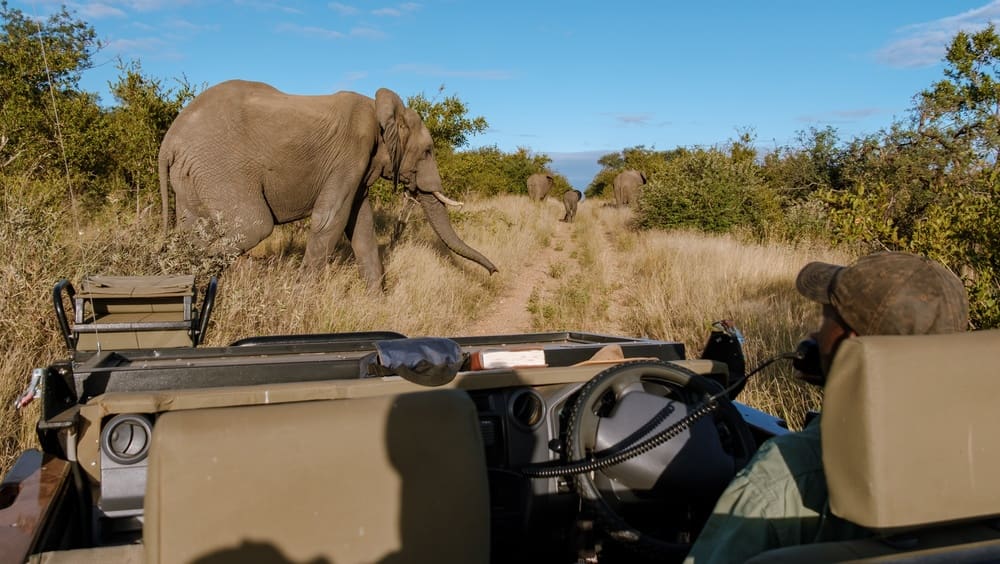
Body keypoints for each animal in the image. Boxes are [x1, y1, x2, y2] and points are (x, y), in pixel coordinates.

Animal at [158, 80, 497, 291]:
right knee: (255, 225)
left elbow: (360, 225)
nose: (495, 272)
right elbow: (331, 220)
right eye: (427, 151)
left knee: (191, 231)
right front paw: (301, 298)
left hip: (193, 177)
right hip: (220, 169)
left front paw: (375, 301)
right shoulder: (351, 151)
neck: (380, 108)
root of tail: (168, 143)